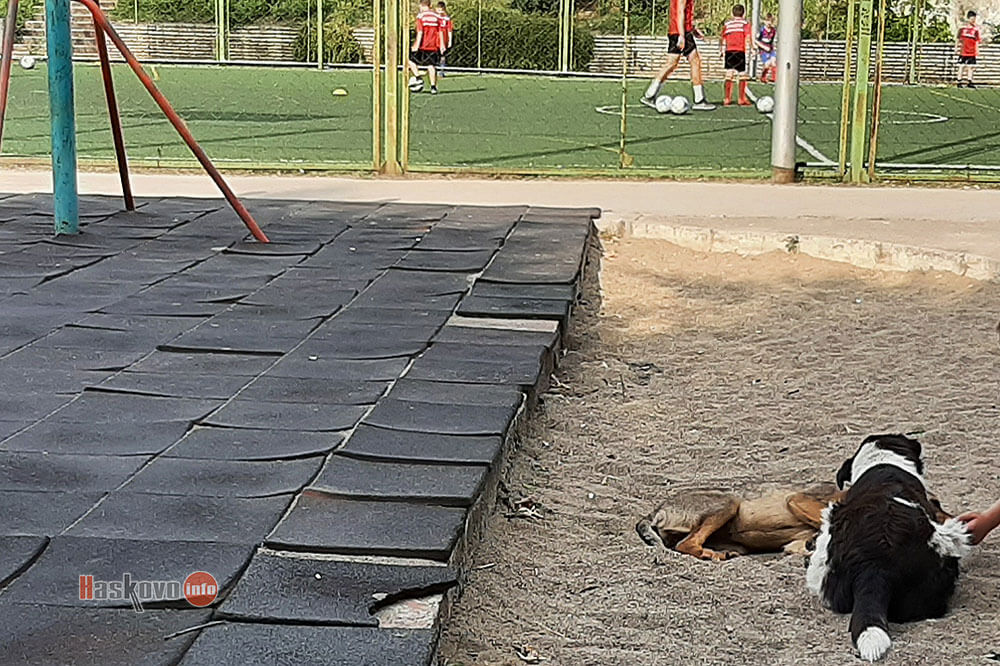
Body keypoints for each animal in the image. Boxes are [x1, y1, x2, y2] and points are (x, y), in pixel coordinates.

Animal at [636, 482, 844, 561]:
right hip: (730, 503)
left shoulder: (794, 544)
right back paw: (711, 554)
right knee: (685, 544)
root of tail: (656, 509)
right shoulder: (797, 499)